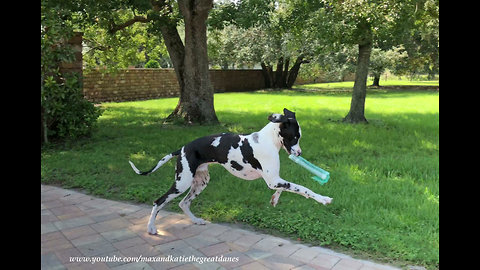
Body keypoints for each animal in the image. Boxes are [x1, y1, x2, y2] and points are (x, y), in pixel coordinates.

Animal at [129, 108, 332, 235]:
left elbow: (285, 188)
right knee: (159, 201)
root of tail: (182, 149)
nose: (299, 153)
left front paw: (274, 199)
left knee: (183, 203)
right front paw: (323, 199)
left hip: (200, 182)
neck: (267, 140)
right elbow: (303, 188)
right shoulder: (273, 180)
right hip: (182, 182)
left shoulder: (274, 179)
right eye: (295, 137)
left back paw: (196, 221)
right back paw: (151, 228)